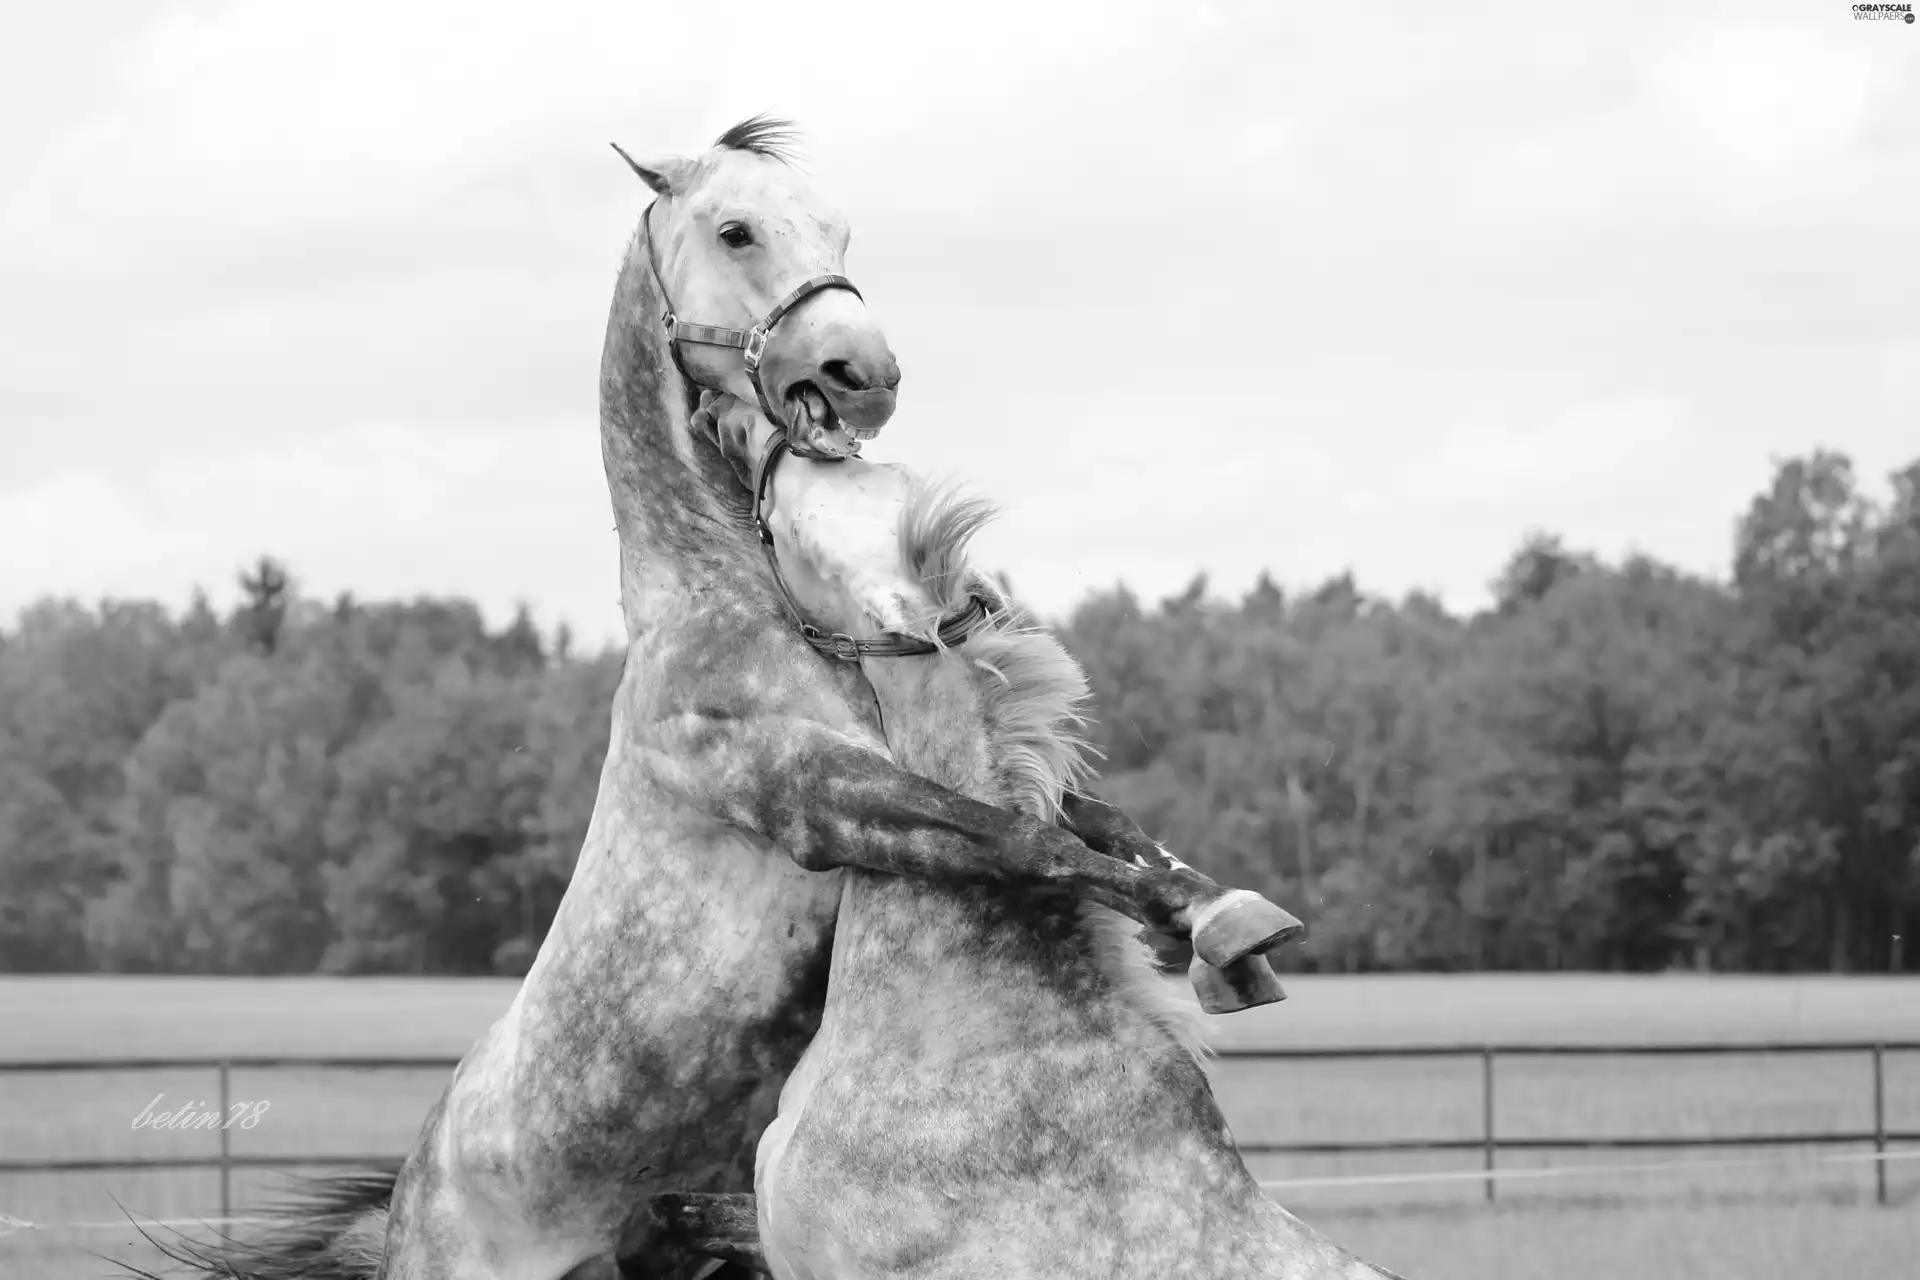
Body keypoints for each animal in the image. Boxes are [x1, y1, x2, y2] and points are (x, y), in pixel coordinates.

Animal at [142, 117, 1297, 1280]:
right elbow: (1020, 835)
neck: (724, 603)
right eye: (736, 229)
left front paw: (1218, 920)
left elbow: (1095, 824)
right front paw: (1202, 928)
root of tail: (412, 1192)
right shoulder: (809, 790)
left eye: (839, 230)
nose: (863, 373)